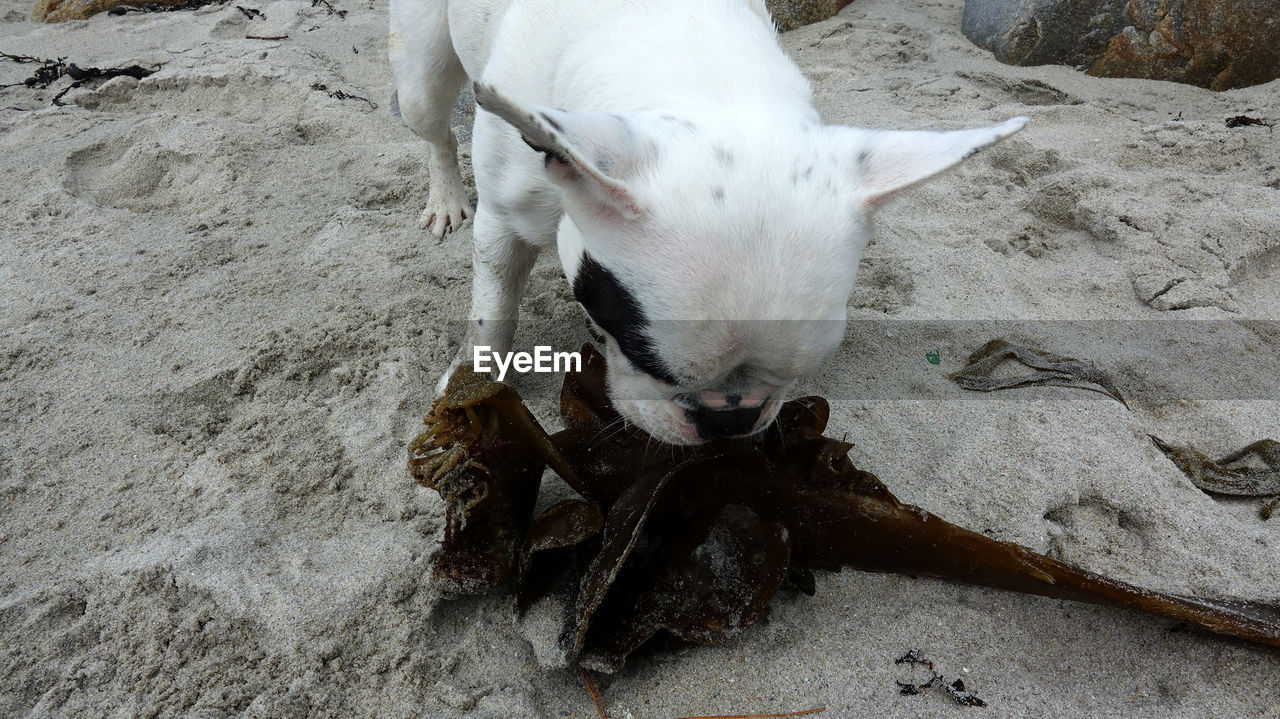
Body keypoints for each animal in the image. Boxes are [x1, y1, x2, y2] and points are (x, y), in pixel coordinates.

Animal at [384, 0, 1024, 442]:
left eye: (807, 369)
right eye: (642, 355)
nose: (729, 420)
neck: (693, 79)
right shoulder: (503, 221)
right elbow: (492, 312)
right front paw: (472, 388)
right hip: (422, 73)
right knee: (433, 125)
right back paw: (446, 196)